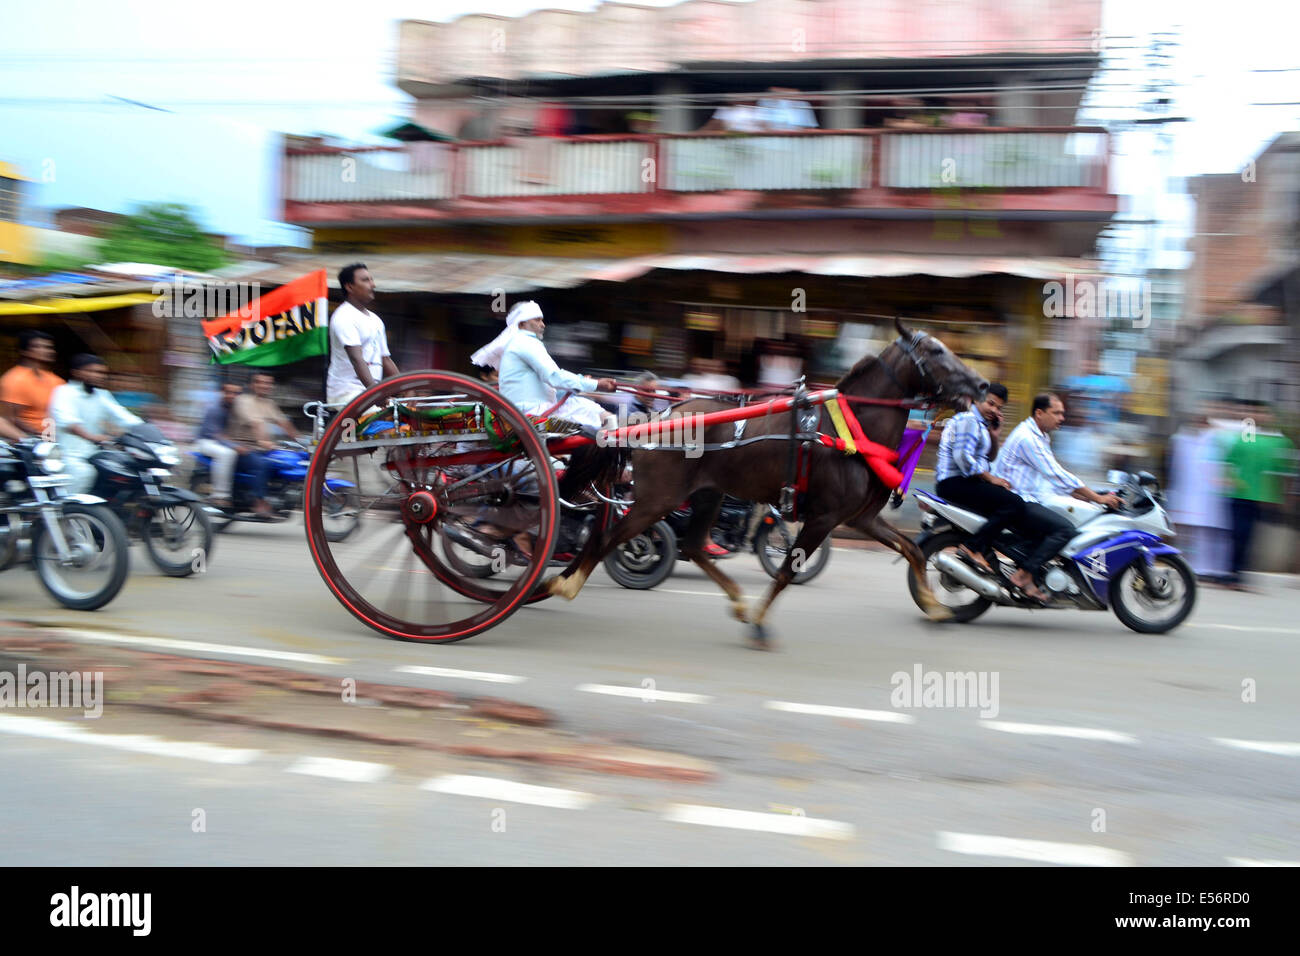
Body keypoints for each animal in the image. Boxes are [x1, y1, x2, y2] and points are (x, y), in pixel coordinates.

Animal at [548, 321, 982, 650]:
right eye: (935, 351)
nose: (981, 385)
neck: (849, 431)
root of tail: (656, 418)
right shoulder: (823, 518)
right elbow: (787, 572)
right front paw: (759, 622)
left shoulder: (860, 519)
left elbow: (914, 550)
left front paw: (935, 607)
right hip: (658, 500)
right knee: (610, 537)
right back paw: (565, 584)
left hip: (707, 495)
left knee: (692, 545)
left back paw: (736, 601)